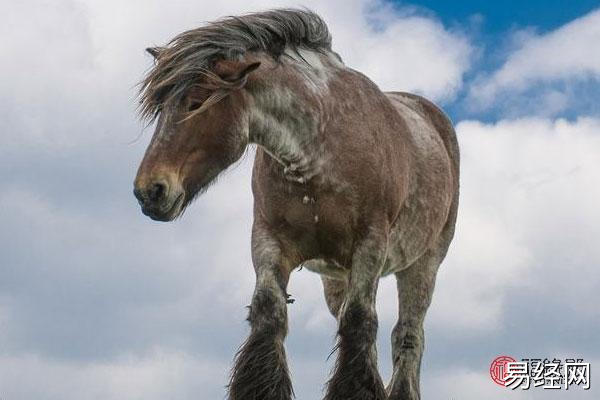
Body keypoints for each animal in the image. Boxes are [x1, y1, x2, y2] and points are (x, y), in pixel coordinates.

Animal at [132, 8, 460, 400]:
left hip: (423, 265)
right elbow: (269, 313)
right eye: (160, 108)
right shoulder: (268, 240)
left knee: (407, 336)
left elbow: (360, 321)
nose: (149, 191)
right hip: (336, 276)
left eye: (196, 102)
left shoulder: (371, 243)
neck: (318, 148)